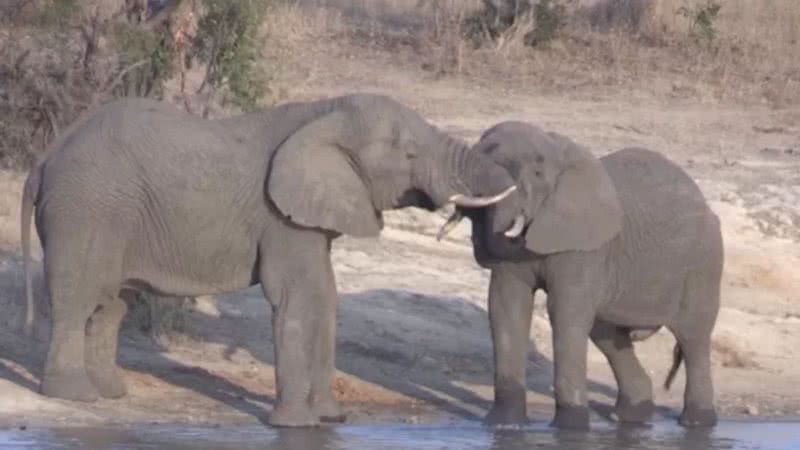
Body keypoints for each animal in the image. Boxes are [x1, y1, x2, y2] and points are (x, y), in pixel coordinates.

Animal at [20, 94, 520, 426]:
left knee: (111, 304)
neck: (325, 114)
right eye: (410, 155)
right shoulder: (280, 217)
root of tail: (44, 159)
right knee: (78, 297)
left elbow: (325, 297)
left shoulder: (309, 219)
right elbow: (295, 298)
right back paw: (75, 397)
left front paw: (331, 419)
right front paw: (295, 425)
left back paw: (111, 395)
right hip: (85, 209)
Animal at [438, 122, 724, 428]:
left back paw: (696, 422)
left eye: (538, 173)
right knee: (608, 335)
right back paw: (629, 416)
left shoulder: (586, 247)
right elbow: (507, 307)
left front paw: (569, 427)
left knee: (693, 337)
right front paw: (503, 425)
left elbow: (565, 313)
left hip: (704, 263)